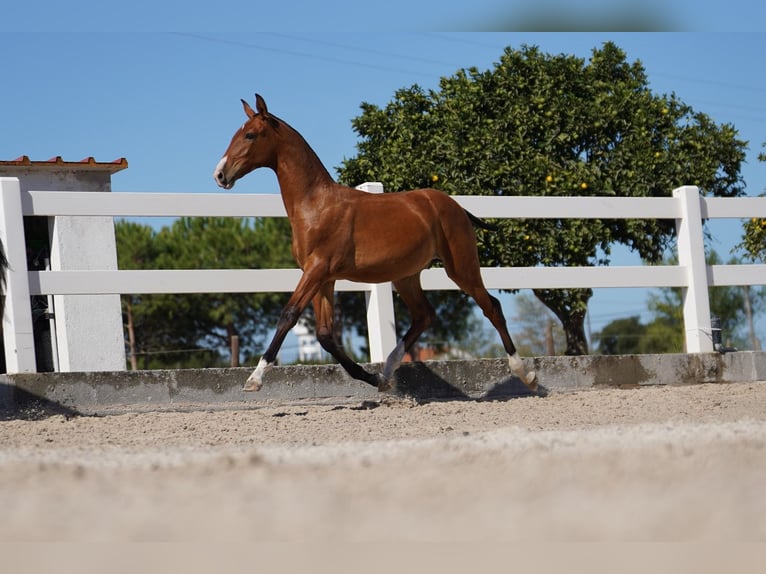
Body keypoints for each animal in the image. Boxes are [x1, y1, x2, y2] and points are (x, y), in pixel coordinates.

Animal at [213, 94, 536, 394]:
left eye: (250, 135)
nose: (220, 174)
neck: (316, 205)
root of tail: (456, 206)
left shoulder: (317, 270)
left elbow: (289, 315)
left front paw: (254, 379)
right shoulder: (321, 277)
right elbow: (325, 335)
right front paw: (372, 378)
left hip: (461, 268)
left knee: (491, 307)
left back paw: (526, 374)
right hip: (407, 275)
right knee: (424, 316)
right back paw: (387, 372)